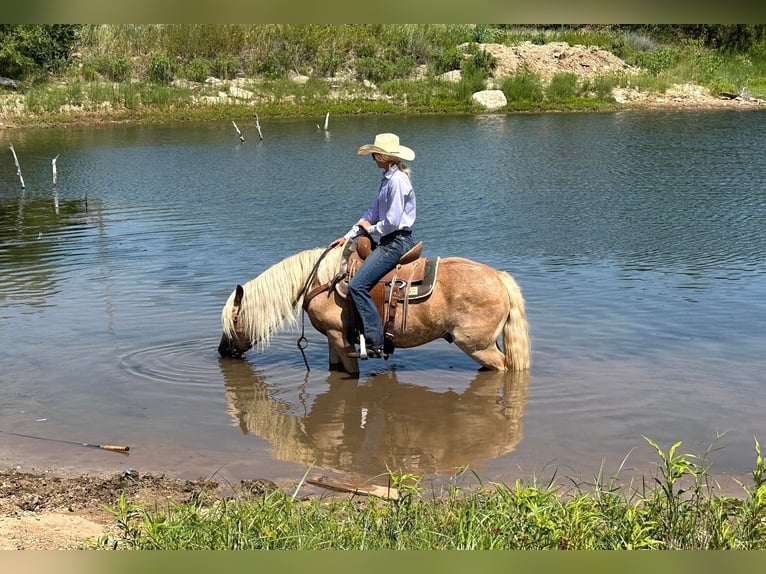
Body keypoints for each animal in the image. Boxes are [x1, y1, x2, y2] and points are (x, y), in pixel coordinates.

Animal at [219, 240, 532, 378]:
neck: (319, 280)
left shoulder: (340, 338)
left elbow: (352, 373)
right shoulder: (334, 339)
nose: (222, 351)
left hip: (477, 345)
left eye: (233, 320)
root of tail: (498, 277)